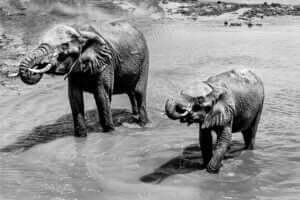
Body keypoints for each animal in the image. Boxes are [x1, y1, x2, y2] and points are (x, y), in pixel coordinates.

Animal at [18, 20, 150, 136]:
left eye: (64, 46)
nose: (42, 63)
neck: (79, 32)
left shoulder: (106, 62)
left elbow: (102, 96)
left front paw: (110, 133)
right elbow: (74, 97)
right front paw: (81, 137)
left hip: (145, 59)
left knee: (138, 92)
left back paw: (143, 125)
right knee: (130, 92)